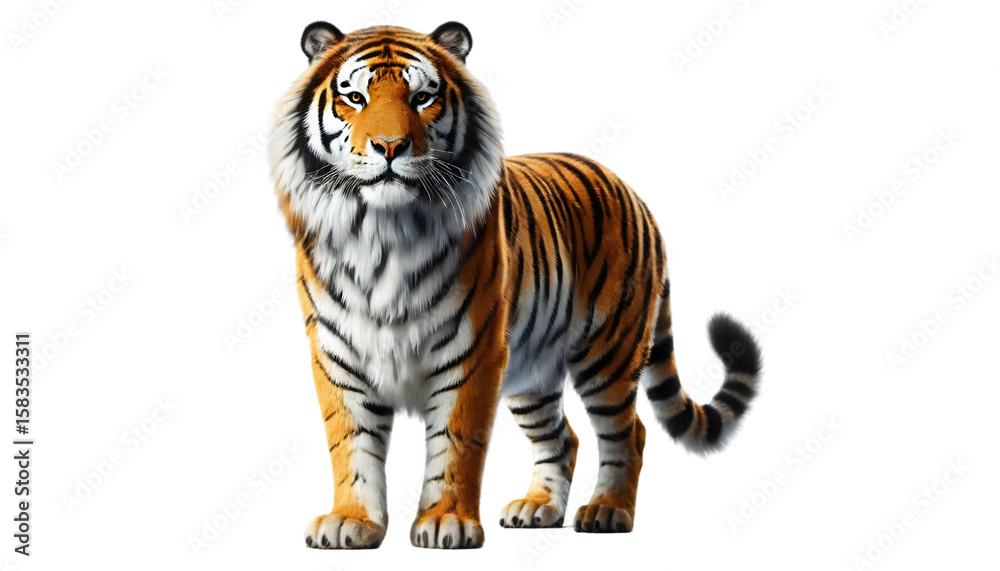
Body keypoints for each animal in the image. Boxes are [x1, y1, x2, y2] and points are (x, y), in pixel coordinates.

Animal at [267, 21, 763, 550]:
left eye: (423, 97)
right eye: (355, 97)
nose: (390, 147)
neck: (383, 230)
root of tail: (633, 193)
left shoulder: (474, 351)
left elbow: (457, 441)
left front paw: (445, 521)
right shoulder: (338, 354)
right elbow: (350, 444)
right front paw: (351, 521)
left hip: (609, 351)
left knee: (629, 434)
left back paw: (607, 511)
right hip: (534, 374)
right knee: (563, 438)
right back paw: (538, 508)